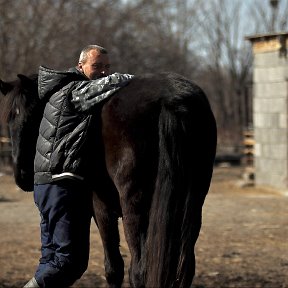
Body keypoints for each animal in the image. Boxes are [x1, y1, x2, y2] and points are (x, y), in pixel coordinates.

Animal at [0, 72, 216, 288]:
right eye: (8, 120)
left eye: (29, 116)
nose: (21, 175)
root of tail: (170, 99)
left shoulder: (100, 208)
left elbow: (113, 268)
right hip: (190, 209)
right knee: (184, 269)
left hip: (134, 210)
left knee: (140, 270)